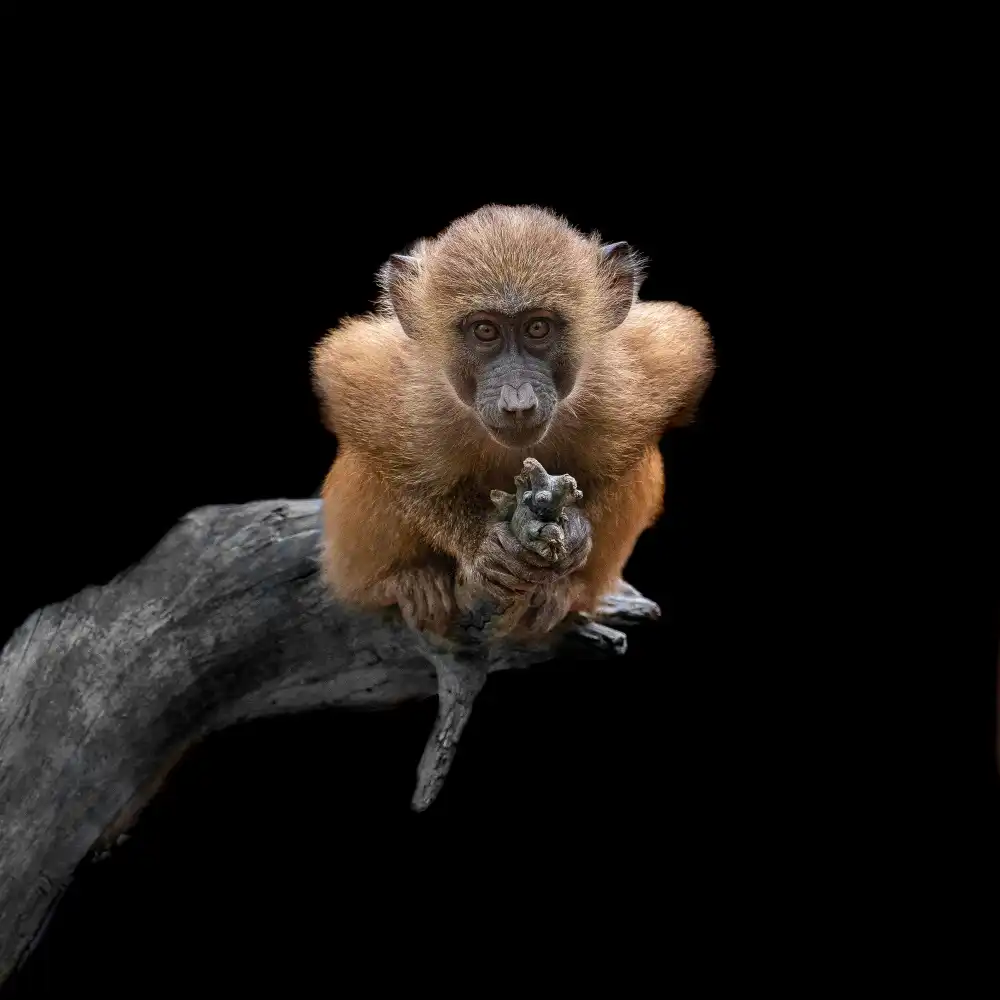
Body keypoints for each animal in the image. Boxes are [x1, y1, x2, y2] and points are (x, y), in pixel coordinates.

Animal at [311, 204, 714, 636]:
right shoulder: (404, 387)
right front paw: (481, 545)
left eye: (537, 327)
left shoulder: (635, 372)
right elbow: (353, 392)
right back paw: (405, 581)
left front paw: (576, 533)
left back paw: (564, 592)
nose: (517, 401)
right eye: (485, 331)